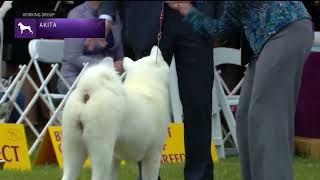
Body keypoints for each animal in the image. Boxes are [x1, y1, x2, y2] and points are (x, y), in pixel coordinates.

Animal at [60, 46, 170, 180]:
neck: (146, 84)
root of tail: (88, 90)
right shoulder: (153, 155)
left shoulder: (115, 158)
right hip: (101, 149)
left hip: (72, 149)